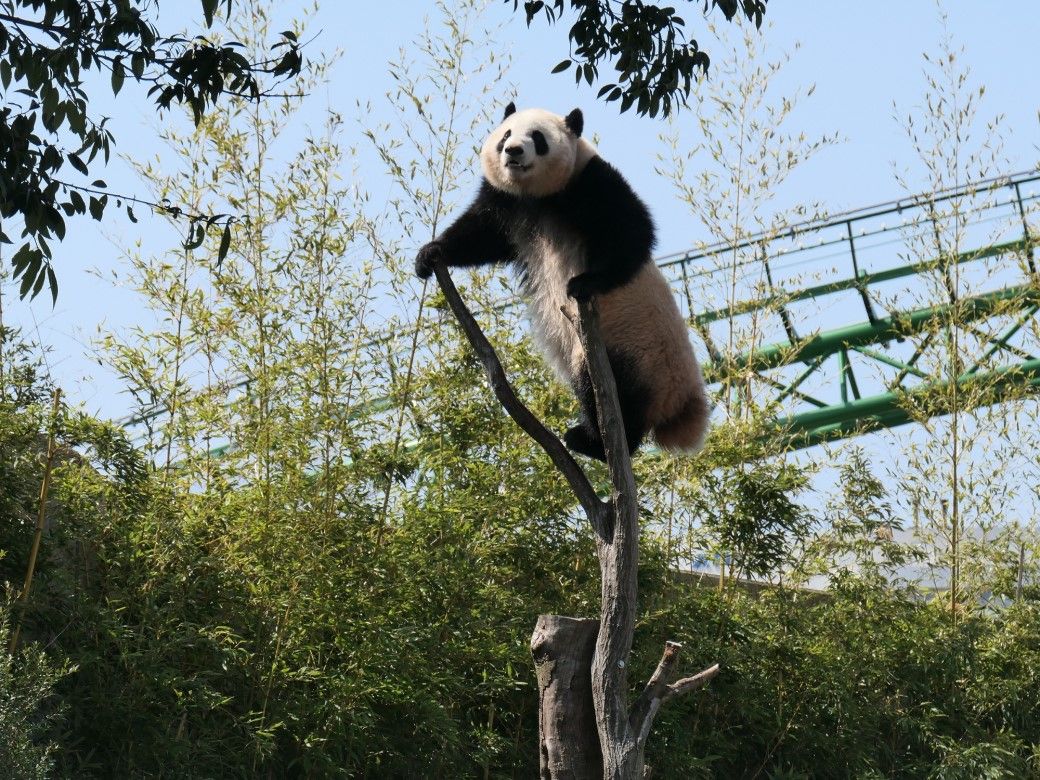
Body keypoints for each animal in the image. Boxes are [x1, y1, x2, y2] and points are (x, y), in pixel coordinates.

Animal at [413, 100, 707, 461]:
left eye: (537, 138)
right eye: (506, 134)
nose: (513, 151)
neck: (535, 196)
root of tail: (681, 404)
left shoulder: (589, 182)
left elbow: (632, 230)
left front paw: (584, 282)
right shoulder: (506, 202)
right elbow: (480, 235)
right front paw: (430, 254)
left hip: (636, 351)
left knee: (607, 391)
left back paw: (592, 442)